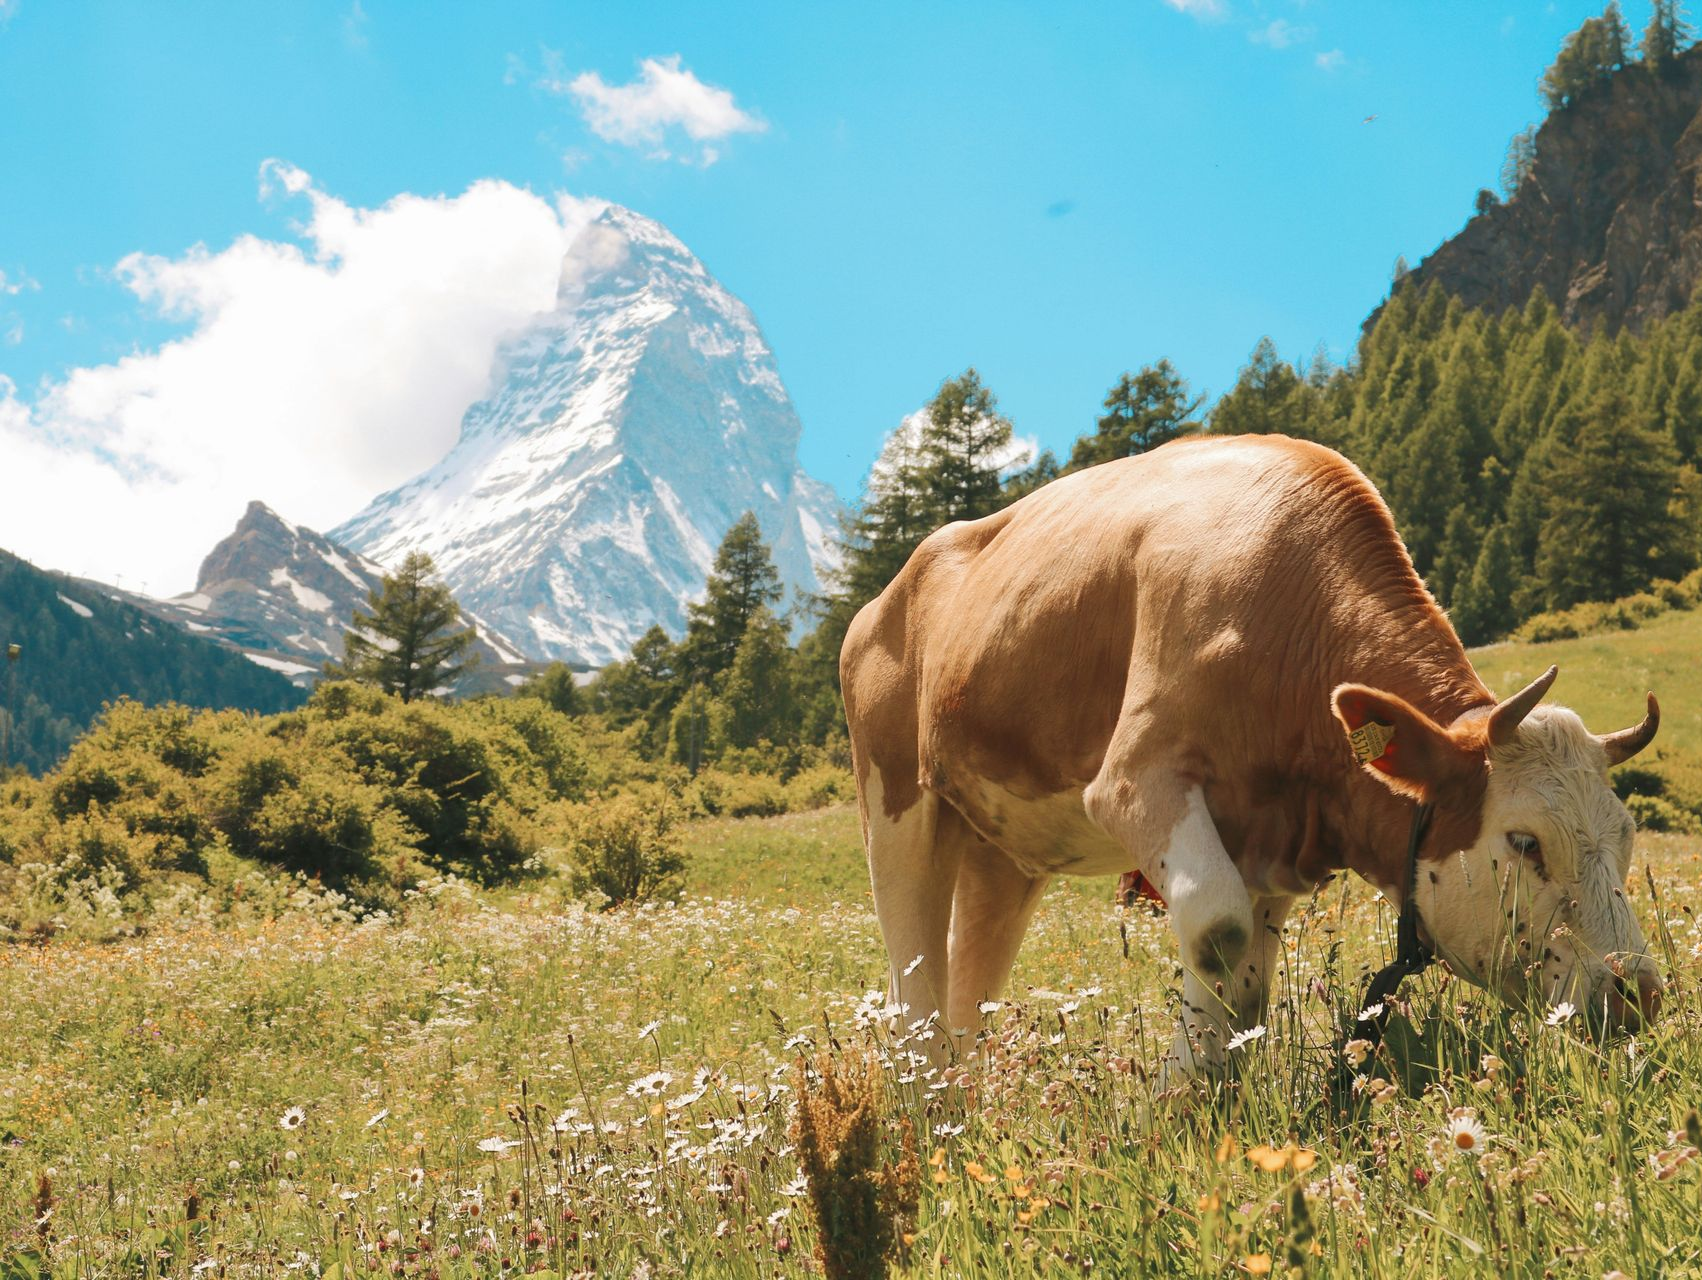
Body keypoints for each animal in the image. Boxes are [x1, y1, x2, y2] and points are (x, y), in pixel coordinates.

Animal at [840, 435, 1663, 1080]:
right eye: (1525, 842)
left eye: (1626, 838)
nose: (1639, 995)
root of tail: (884, 597)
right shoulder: (1135, 781)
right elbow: (1219, 935)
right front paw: (1172, 1111)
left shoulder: (1270, 843)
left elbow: (1247, 987)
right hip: (897, 810)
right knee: (913, 994)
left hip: (1004, 852)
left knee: (965, 1002)